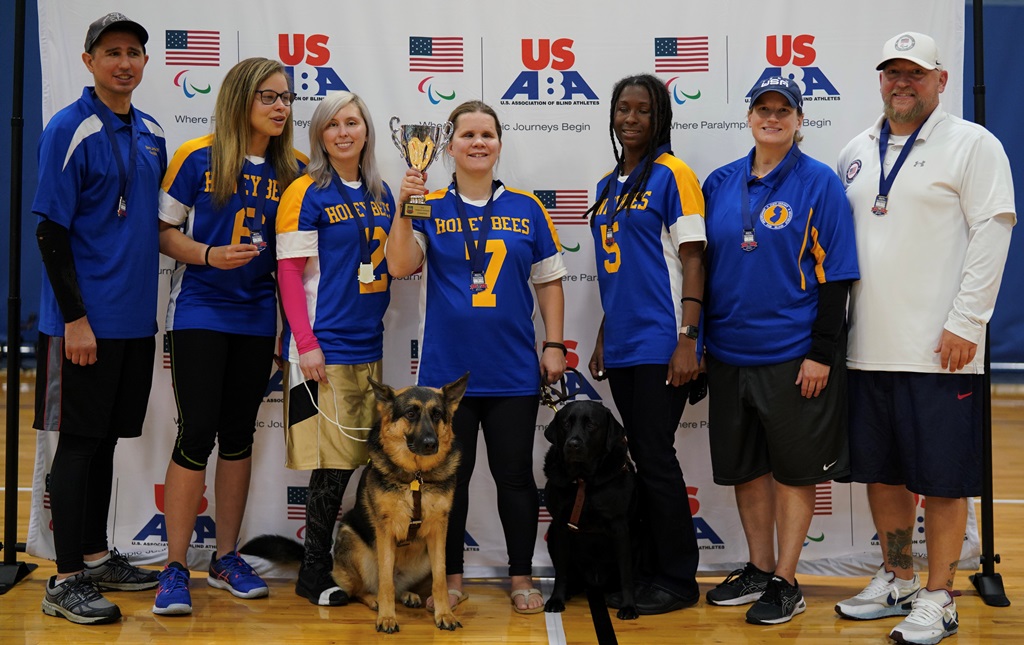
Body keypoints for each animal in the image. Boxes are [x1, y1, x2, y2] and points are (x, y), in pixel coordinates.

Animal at [331, 374, 468, 630]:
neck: (416, 476)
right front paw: (387, 617)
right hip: (351, 540)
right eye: (411, 413)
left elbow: (441, 579)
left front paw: (444, 614)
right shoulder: (385, 530)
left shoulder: (438, 530)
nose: (430, 444)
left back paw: (408, 595)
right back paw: (374, 600)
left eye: (437, 414)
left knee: (400, 587)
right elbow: (385, 580)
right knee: (360, 589)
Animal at [540, 401, 634, 618]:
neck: (583, 479)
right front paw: (556, 599)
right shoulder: (560, 526)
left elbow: (626, 573)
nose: (573, 444)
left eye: (591, 425)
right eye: (565, 424)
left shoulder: (620, 527)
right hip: (552, 534)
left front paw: (628, 605)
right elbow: (561, 571)